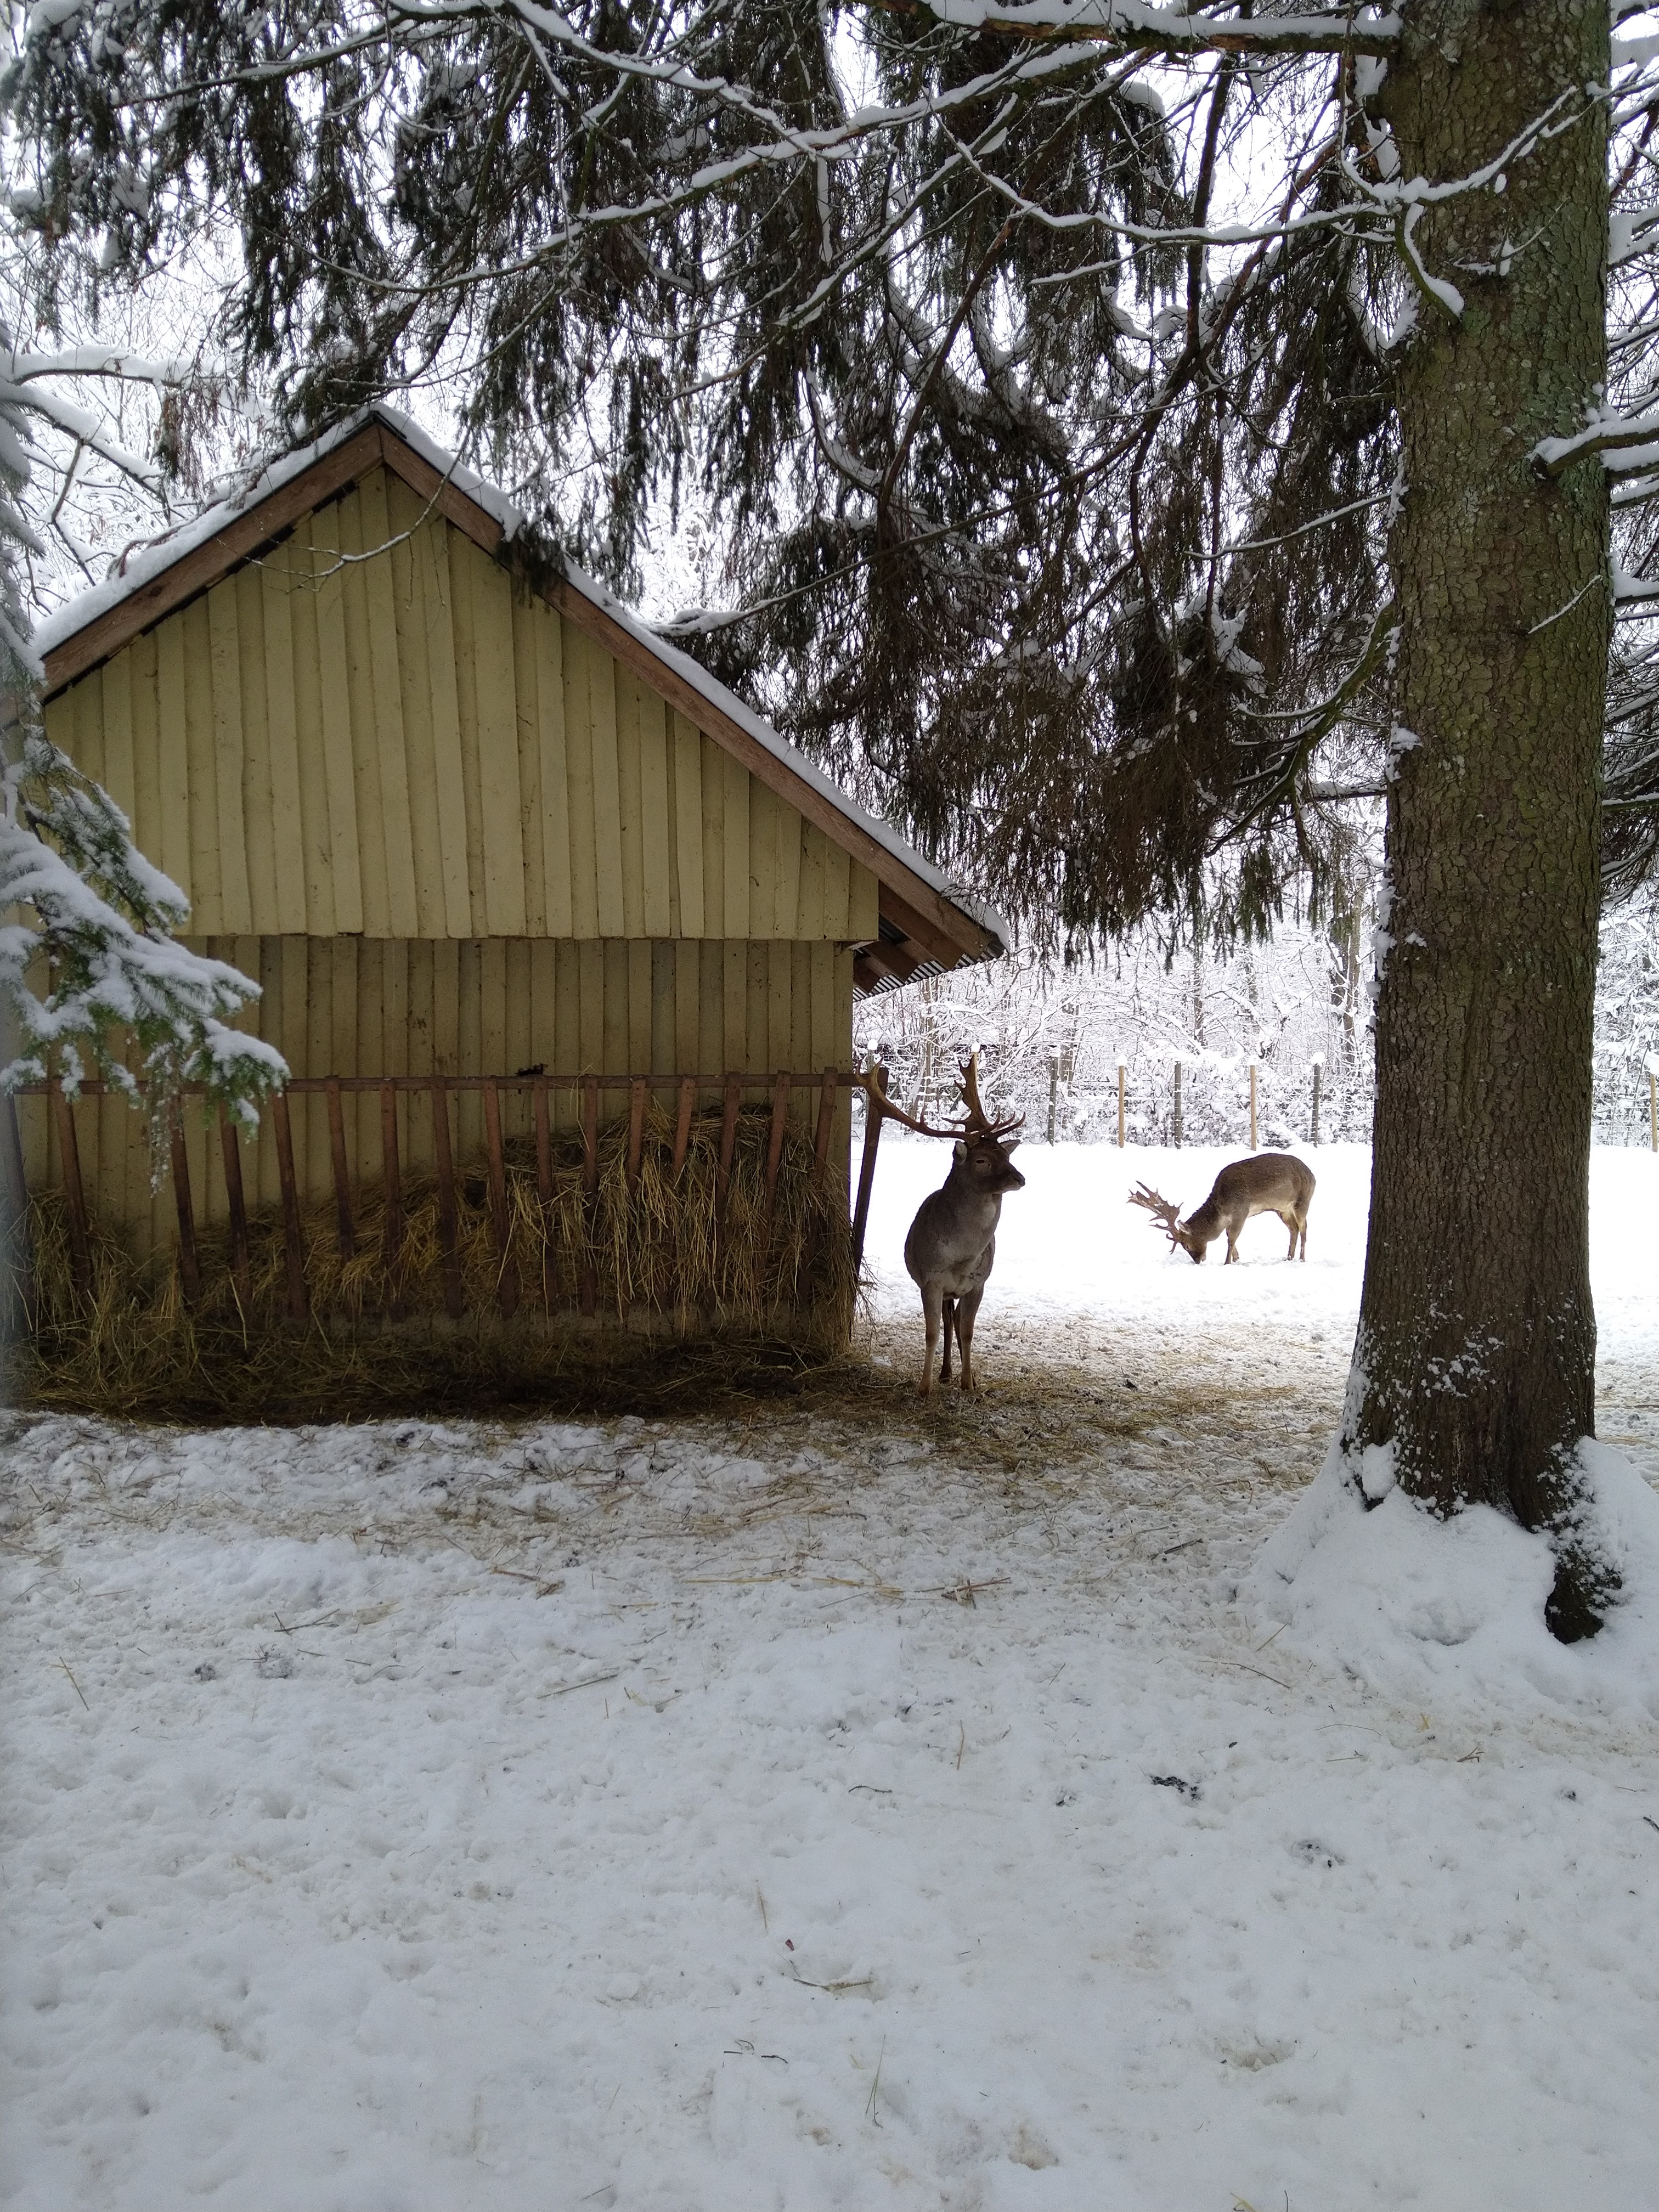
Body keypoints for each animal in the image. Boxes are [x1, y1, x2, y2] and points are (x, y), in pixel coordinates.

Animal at [871, 1048, 1026, 1389]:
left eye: (1007, 1155)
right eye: (981, 1160)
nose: (1020, 1178)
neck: (962, 1257)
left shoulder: (979, 1282)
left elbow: (966, 1331)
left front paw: (969, 1383)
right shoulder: (931, 1279)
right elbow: (932, 1333)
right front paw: (924, 1386)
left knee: (954, 1321)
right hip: (941, 1289)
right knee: (945, 1319)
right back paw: (943, 1373)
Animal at [1141, 1150, 1318, 1274]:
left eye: (1186, 1245)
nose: (1198, 1261)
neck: (1222, 1209)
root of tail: (1313, 1175)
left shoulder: (1242, 1211)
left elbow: (1231, 1238)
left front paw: (1226, 1263)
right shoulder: (1231, 1218)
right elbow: (1229, 1236)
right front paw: (1237, 1259)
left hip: (1303, 1201)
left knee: (1304, 1228)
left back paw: (1301, 1258)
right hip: (1282, 1209)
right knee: (1294, 1229)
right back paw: (1288, 1257)